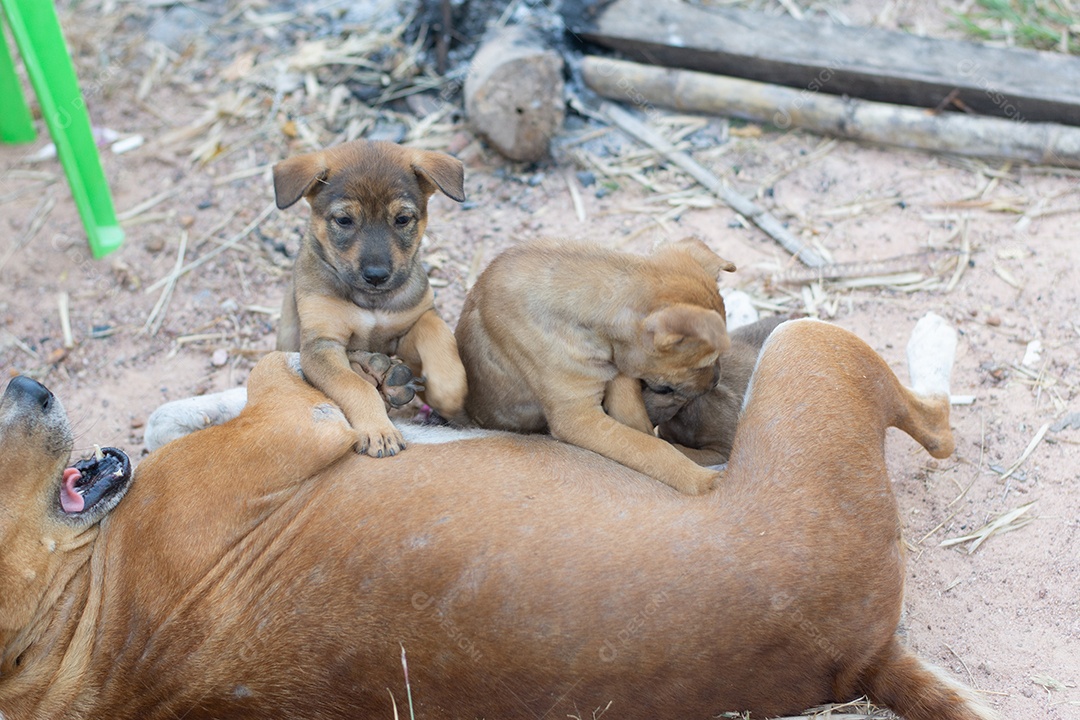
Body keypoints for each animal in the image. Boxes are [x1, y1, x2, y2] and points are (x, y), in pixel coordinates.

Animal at [0, 315, 993, 720]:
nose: (22, 383)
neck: (84, 627)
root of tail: (862, 658)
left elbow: (198, 404)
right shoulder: (298, 417)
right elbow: (290, 373)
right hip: (812, 356)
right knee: (938, 424)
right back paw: (930, 338)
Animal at [272, 139, 466, 455]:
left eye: (402, 219)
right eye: (344, 220)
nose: (376, 276)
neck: (371, 302)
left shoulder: (414, 319)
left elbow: (438, 337)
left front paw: (449, 394)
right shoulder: (321, 344)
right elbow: (354, 386)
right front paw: (379, 430)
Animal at [451, 236, 738, 496]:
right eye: (704, 361)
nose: (716, 383)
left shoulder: (618, 379)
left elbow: (638, 428)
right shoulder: (577, 417)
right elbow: (649, 447)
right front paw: (700, 479)